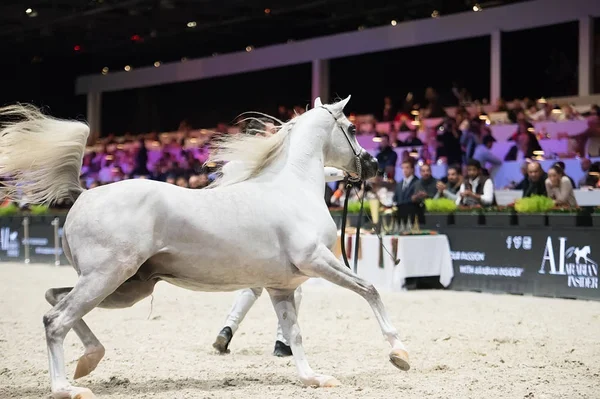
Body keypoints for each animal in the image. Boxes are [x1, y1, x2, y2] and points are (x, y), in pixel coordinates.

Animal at [0, 97, 410, 399]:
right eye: (353, 129)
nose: (374, 165)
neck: (292, 189)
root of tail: (84, 195)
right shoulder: (317, 261)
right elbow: (370, 290)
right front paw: (400, 353)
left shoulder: (280, 287)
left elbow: (294, 334)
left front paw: (314, 379)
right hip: (107, 278)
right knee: (56, 321)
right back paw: (66, 387)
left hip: (127, 287)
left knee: (55, 298)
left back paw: (88, 362)